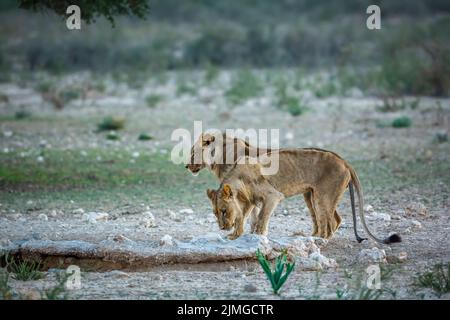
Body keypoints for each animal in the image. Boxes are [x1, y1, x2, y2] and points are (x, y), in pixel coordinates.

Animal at [186, 131, 400, 244]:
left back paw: (319, 240)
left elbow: (256, 217)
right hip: (311, 196)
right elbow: (247, 216)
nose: (186, 166)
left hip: (322, 197)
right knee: (333, 219)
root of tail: (344, 161)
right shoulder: (245, 197)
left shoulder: (263, 194)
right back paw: (311, 237)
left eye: (192, 153)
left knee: (329, 222)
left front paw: (255, 236)